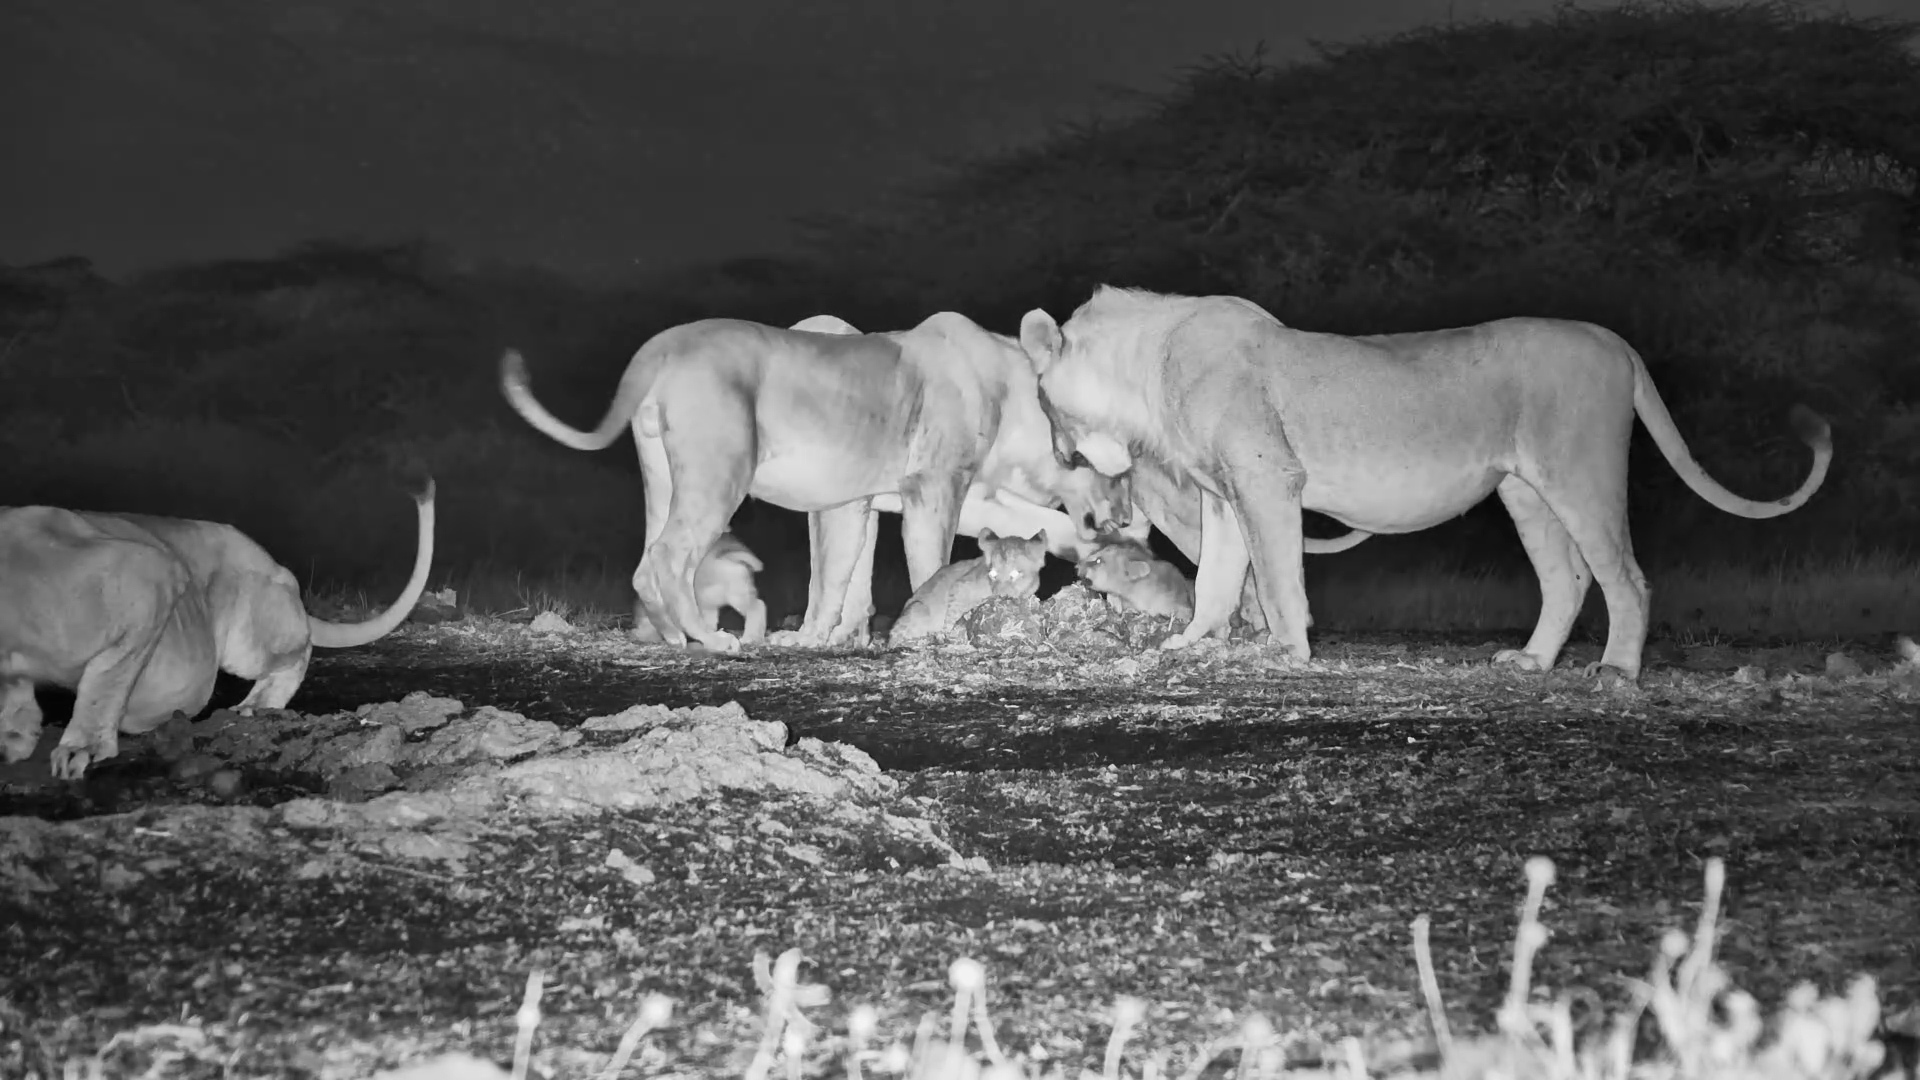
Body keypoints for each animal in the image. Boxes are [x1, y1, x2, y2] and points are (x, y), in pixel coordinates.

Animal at [1, 481, 436, 778]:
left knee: (299, 649)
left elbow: (105, 682)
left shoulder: (152, 574)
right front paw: (14, 740)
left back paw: (255, 705)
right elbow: (18, 698)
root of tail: (276, 566)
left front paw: (83, 749)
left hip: (247, 632)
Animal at [1019, 286, 1831, 684]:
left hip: (1581, 469)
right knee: (1567, 579)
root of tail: (1617, 343)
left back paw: (1616, 671)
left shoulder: (1267, 477)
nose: (1058, 451)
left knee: (1625, 578)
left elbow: (1276, 581)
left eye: (1043, 401)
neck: (1142, 368)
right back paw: (1532, 662)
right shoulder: (1223, 495)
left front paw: (1286, 654)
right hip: (1525, 490)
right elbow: (1218, 577)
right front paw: (1191, 644)